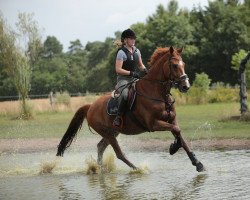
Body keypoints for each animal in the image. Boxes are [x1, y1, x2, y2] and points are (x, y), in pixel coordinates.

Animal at [57, 46, 205, 172]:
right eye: (174, 65)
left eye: (183, 64)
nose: (186, 86)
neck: (157, 92)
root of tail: (90, 107)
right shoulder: (153, 124)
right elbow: (176, 131)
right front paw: (173, 148)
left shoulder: (171, 120)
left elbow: (180, 135)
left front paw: (197, 163)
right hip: (108, 133)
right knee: (118, 153)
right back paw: (137, 169)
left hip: (113, 132)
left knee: (100, 147)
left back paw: (100, 169)